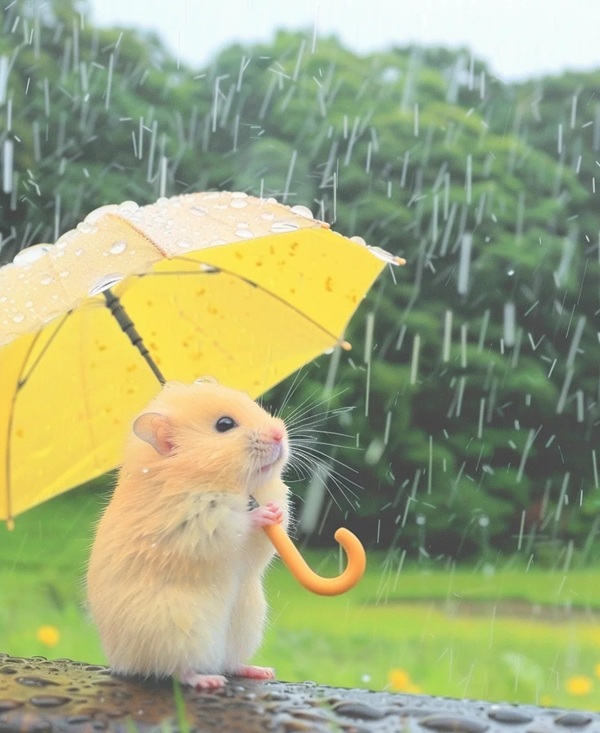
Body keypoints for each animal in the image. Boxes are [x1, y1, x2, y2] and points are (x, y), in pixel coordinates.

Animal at [86, 378, 290, 690]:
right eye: (224, 424)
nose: (280, 434)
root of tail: (122, 661)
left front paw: (276, 511)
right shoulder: (194, 522)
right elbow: (233, 524)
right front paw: (262, 515)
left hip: (247, 621)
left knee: (231, 662)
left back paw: (260, 671)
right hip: (177, 628)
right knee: (176, 669)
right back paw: (209, 680)